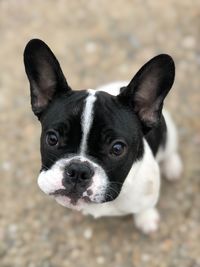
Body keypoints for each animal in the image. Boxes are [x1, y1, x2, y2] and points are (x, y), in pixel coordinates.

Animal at [23, 38, 183, 233]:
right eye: (52, 139)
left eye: (117, 149)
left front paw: (146, 219)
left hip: (170, 135)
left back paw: (172, 167)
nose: (78, 171)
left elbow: (145, 207)